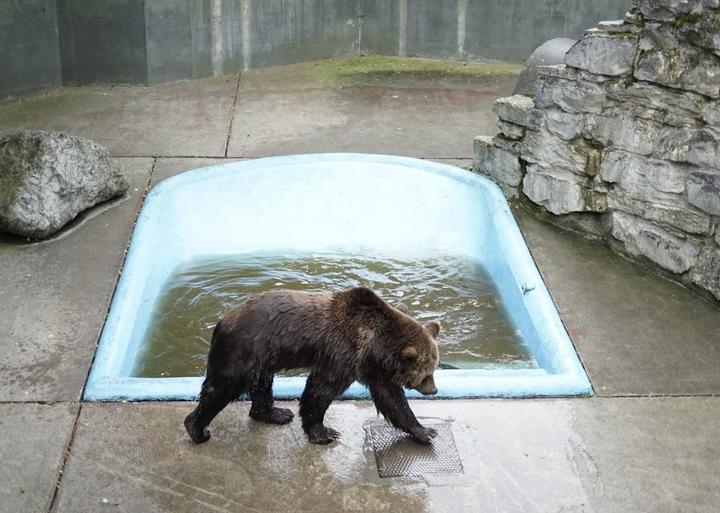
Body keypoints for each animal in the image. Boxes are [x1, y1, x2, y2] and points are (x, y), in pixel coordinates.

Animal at [183, 286, 442, 442]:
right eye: (427, 373)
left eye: (433, 369)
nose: (433, 389)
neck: (373, 345)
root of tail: (221, 321)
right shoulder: (342, 353)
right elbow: (320, 390)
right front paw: (323, 432)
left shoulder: (373, 369)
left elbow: (392, 400)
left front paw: (425, 431)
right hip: (242, 351)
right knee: (222, 387)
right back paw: (197, 429)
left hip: (263, 357)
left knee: (262, 384)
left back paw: (275, 413)